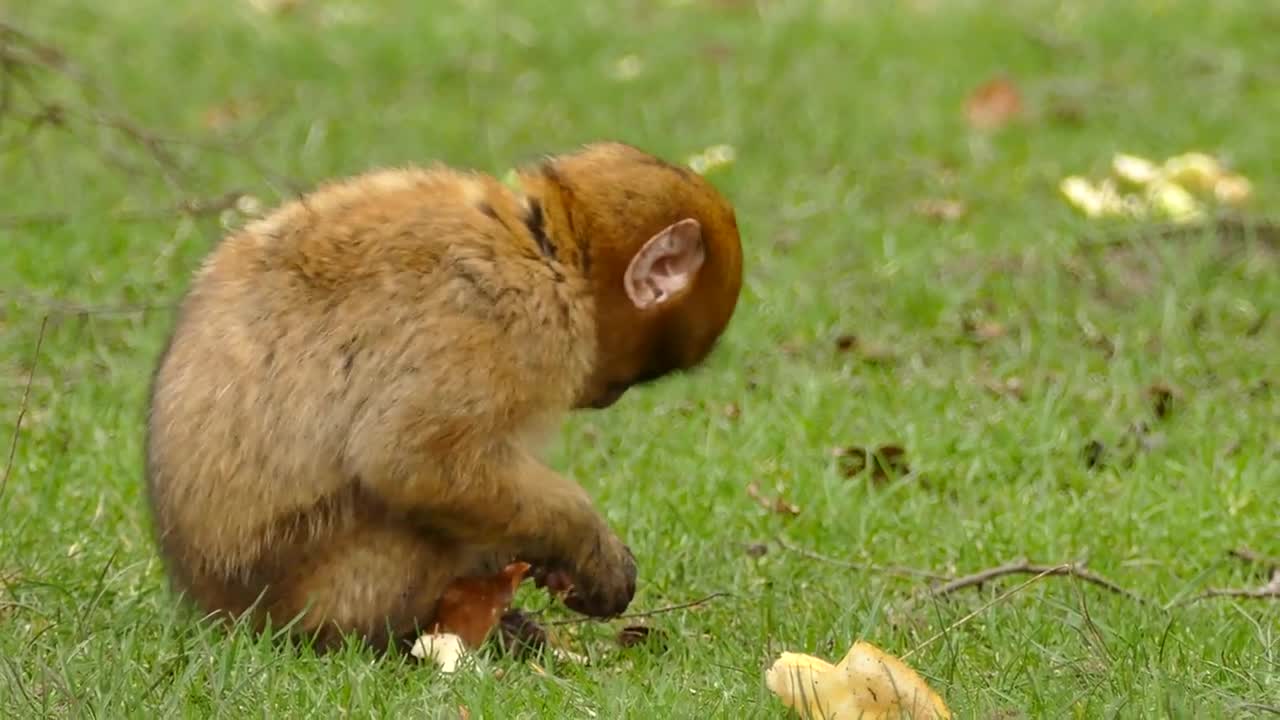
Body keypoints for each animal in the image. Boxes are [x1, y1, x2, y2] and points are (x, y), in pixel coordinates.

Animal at [145, 139, 747, 650]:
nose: (606, 397)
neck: (550, 248)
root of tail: (218, 608)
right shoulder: (512, 318)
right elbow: (412, 462)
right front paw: (585, 543)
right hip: (318, 586)